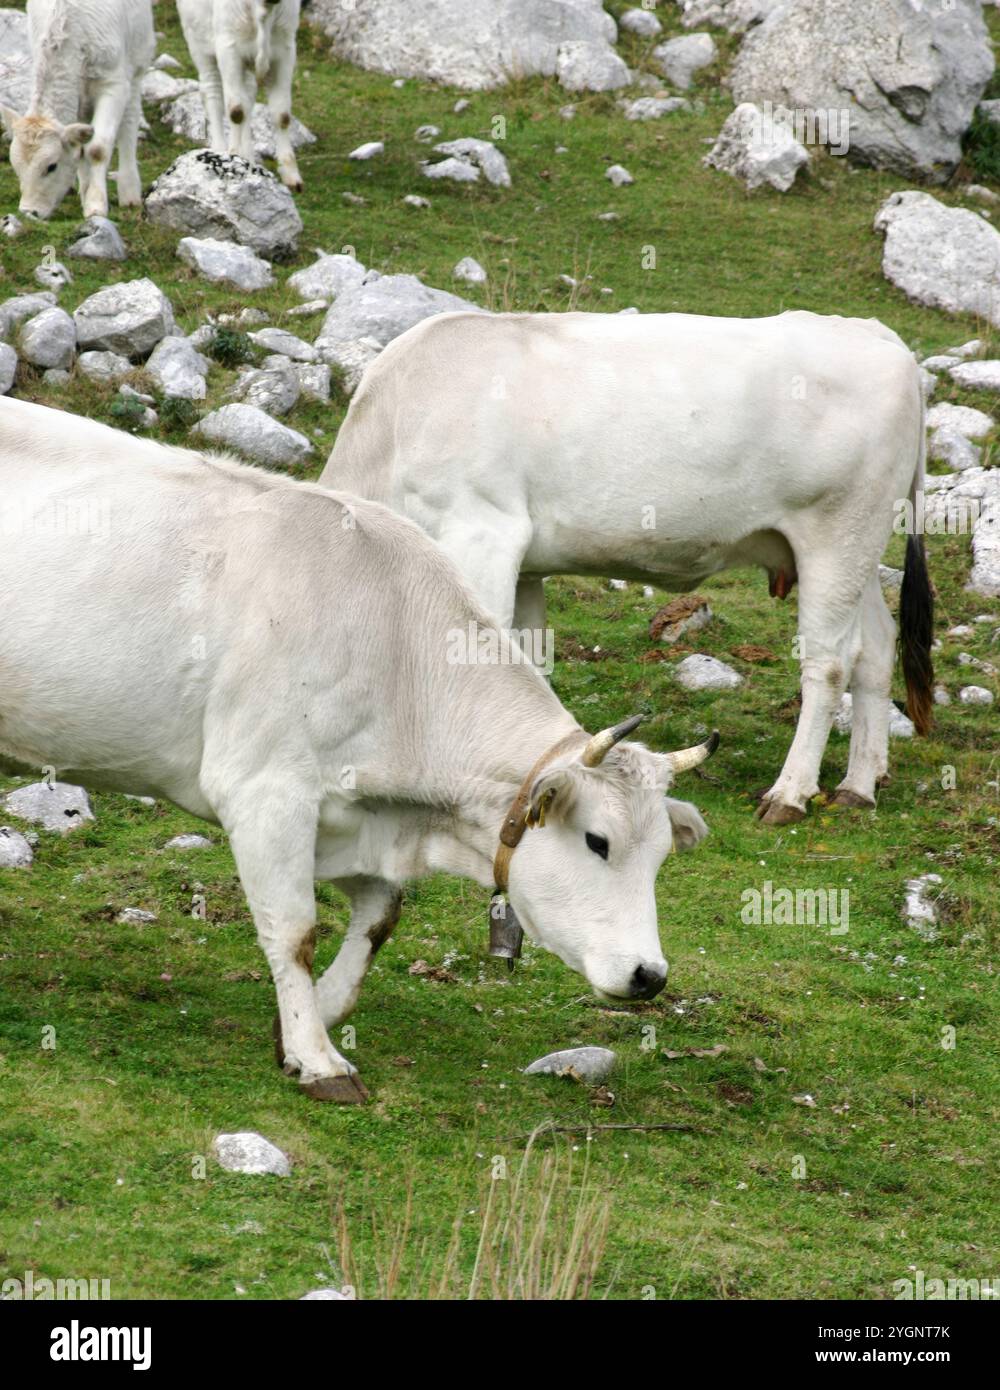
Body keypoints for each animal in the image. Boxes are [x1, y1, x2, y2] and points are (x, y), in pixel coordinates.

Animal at [0, 397, 717, 1102]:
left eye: (662, 854)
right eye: (598, 841)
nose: (650, 975)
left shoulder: (350, 816)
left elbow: (380, 917)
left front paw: (308, 1022)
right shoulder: (266, 793)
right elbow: (295, 932)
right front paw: (319, 1059)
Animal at [1, 0, 153, 220]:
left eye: (51, 166)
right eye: (16, 167)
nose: (29, 212)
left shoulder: (113, 83)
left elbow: (97, 149)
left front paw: (95, 205)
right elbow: (80, 149)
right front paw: (86, 195)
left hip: (138, 58)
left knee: (130, 120)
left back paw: (130, 193)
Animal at [176, 0, 304, 192]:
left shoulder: (286, 50)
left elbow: (282, 115)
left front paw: (291, 175)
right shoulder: (228, 49)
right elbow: (237, 111)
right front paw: (233, 157)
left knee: (248, 98)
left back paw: (248, 157)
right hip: (200, 44)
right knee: (212, 92)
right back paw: (219, 149)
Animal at [319, 309, 934, 828]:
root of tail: (879, 336)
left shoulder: (482, 532)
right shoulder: (525, 567)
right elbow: (528, 659)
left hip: (835, 534)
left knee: (829, 662)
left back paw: (790, 793)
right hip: (859, 549)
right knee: (876, 646)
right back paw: (859, 785)